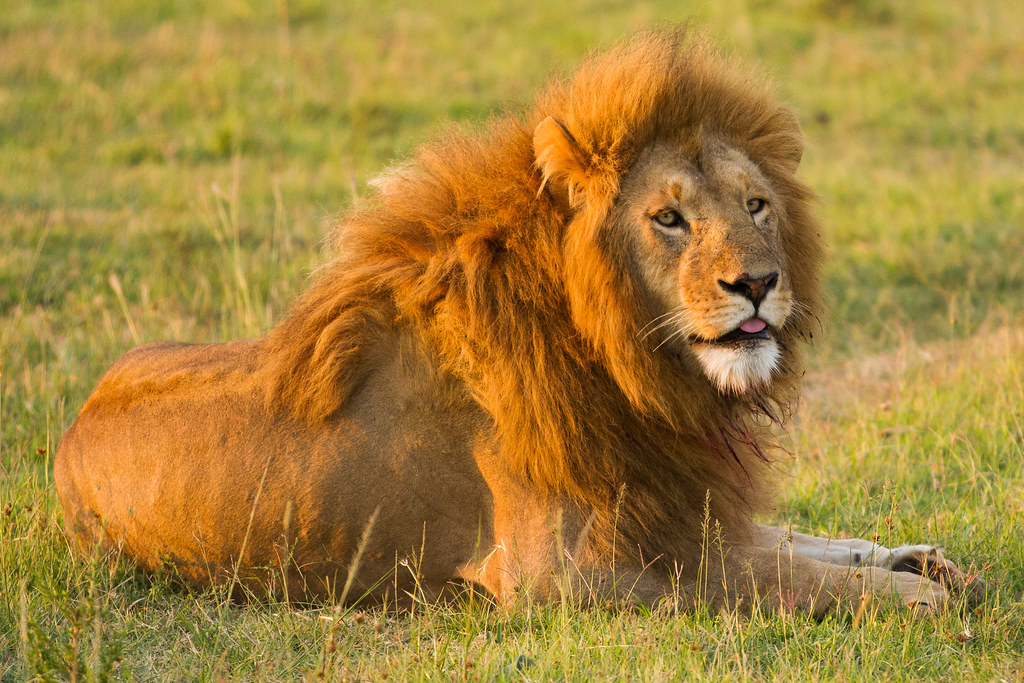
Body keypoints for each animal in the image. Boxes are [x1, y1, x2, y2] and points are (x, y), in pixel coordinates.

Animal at [54, 29, 982, 614]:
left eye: (756, 204)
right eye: (669, 218)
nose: (757, 282)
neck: (637, 372)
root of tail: (69, 428)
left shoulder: (676, 503)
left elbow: (795, 541)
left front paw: (913, 558)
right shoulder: (570, 575)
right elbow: (770, 577)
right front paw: (914, 592)